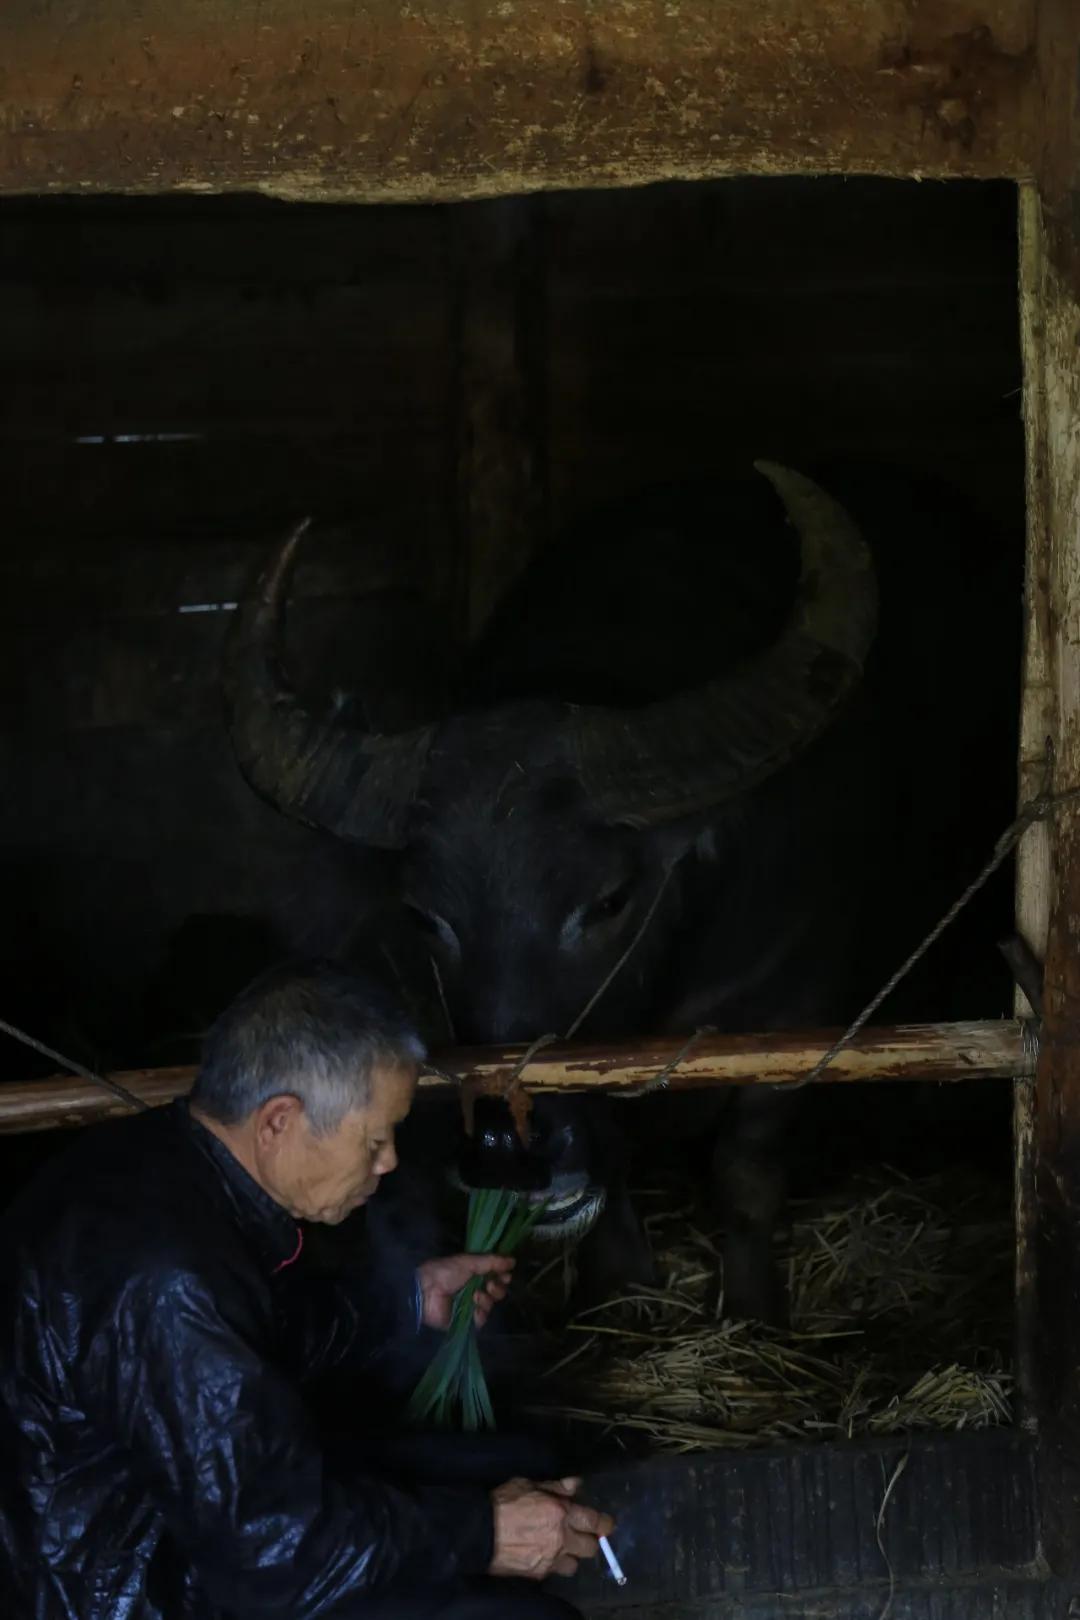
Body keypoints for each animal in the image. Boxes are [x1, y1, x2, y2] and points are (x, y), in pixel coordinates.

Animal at [226, 463, 880, 1321]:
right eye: (424, 916)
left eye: (609, 901)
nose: (508, 1149)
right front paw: (625, 1284)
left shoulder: (805, 1005)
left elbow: (747, 1167)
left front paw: (752, 1309)